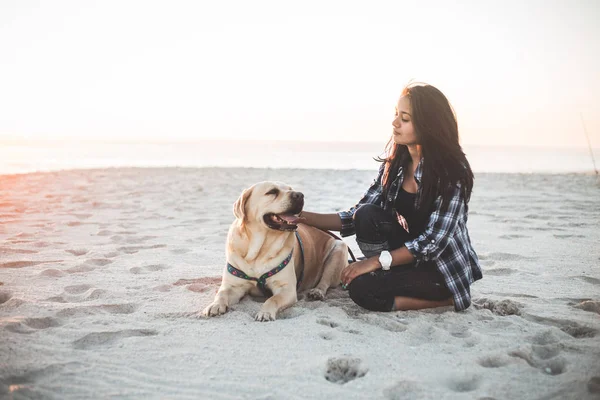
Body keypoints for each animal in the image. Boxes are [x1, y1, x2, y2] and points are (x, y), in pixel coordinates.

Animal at [205, 181, 350, 322]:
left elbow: (272, 299)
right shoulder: (233, 286)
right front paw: (215, 305)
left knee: (325, 282)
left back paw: (317, 292)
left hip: (339, 248)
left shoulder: (287, 289)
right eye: (272, 191)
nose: (300, 195)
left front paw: (265, 313)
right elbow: (221, 294)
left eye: (291, 189)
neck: (259, 250)